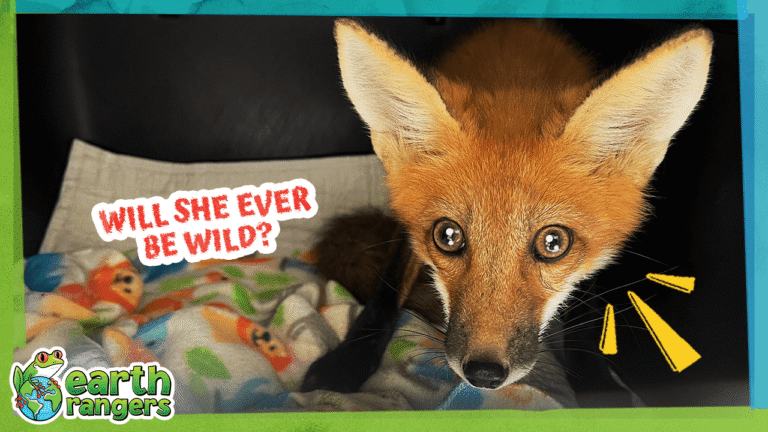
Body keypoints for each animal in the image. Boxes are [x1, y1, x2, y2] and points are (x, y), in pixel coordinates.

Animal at [300, 19, 713, 394]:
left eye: (553, 243)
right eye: (447, 236)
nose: (483, 373)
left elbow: (585, 304)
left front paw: (597, 384)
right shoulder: (409, 226)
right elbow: (387, 291)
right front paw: (347, 362)